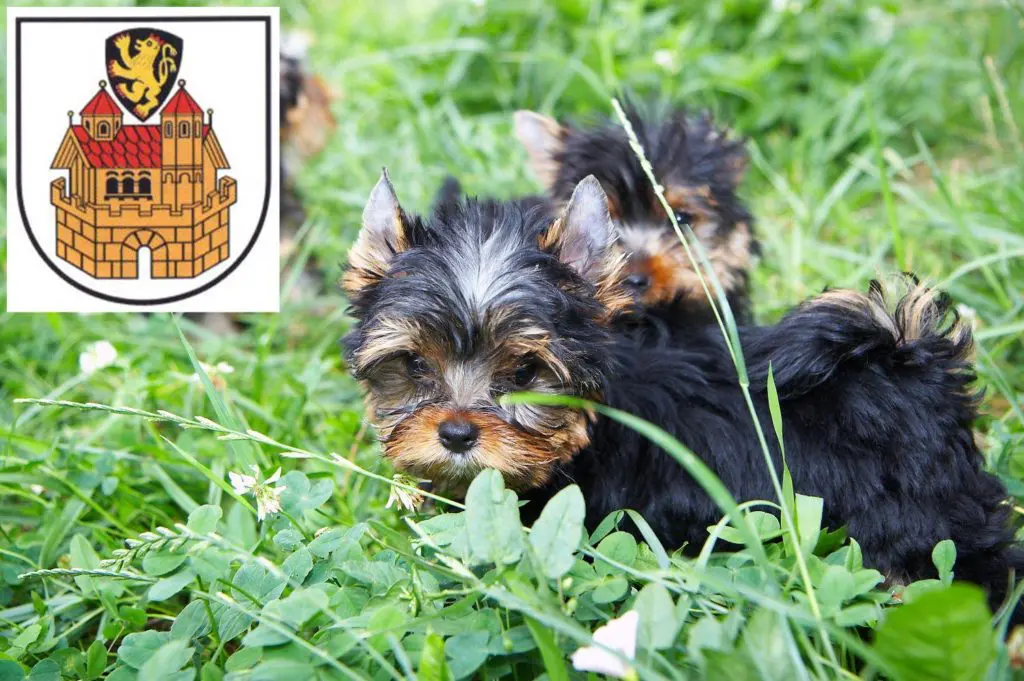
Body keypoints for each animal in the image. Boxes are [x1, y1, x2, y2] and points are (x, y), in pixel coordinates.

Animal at [346, 171, 1024, 614]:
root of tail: (907, 353)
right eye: (414, 364)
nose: (457, 431)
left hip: (919, 519)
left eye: (524, 374)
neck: (591, 432)